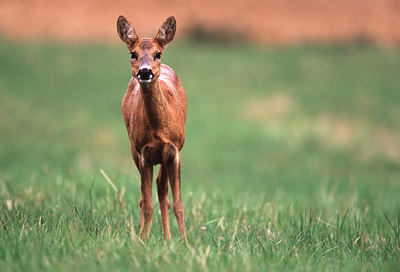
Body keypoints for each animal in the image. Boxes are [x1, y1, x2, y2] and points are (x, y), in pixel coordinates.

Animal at [116, 15, 188, 242]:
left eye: (158, 54)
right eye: (133, 54)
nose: (145, 71)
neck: (158, 131)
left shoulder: (174, 151)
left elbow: (178, 203)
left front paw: (185, 242)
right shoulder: (144, 153)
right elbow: (147, 203)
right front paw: (143, 239)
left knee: (162, 191)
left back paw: (168, 237)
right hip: (133, 150)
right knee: (146, 196)